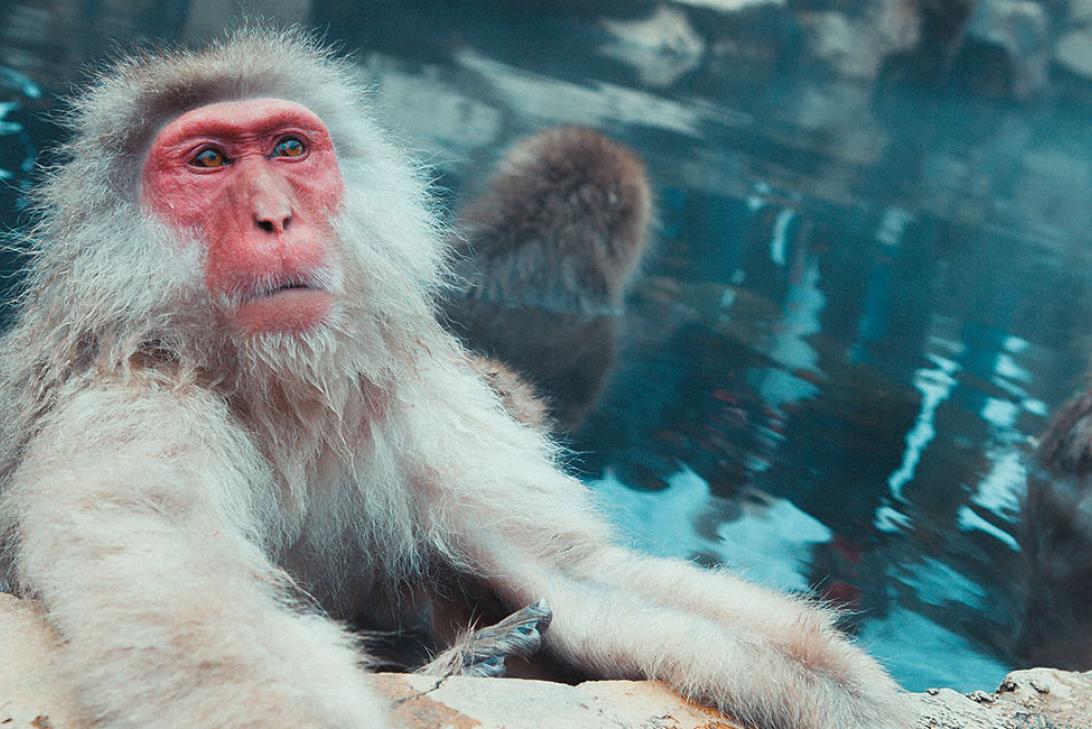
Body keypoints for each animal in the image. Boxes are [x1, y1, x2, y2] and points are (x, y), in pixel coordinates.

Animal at [0, 30, 912, 729]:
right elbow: (208, 627)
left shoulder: (414, 401)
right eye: (209, 160)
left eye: (290, 149)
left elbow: (575, 573)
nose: (276, 216)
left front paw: (848, 694)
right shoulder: (133, 407)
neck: (276, 392)